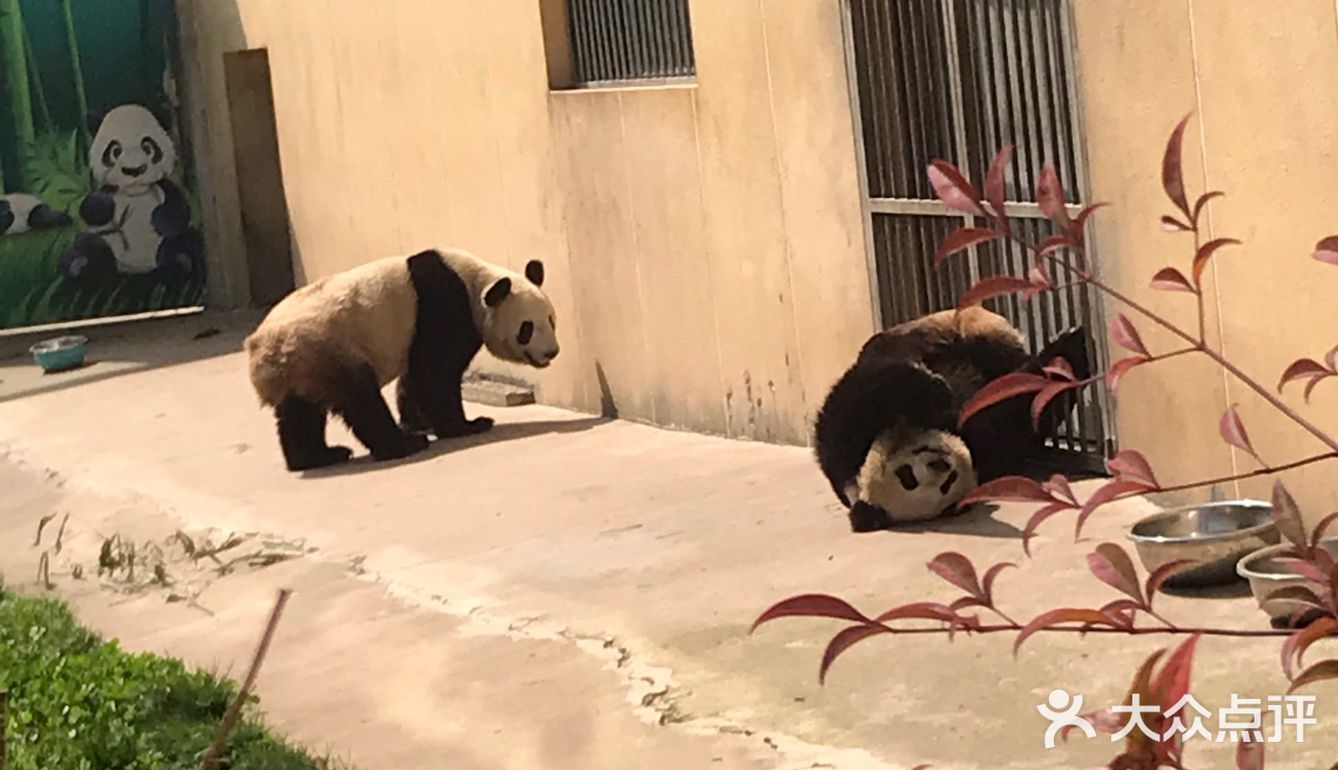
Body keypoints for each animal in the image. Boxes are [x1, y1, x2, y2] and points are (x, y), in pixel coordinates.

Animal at [59, 102, 202, 283]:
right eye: (115, 150)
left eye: (147, 147)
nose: (133, 170)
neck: (135, 191)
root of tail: (137, 272)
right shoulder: (110, 190)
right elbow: (89, 208)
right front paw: (102, 204)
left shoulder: (165, 188)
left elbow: (179, 210)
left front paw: (158, 219)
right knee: (86, 245)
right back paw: (80, 265)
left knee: (185, 241)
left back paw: (179, 264)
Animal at [808, 303, 1091, 532]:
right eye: (910, 480)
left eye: (905, 474)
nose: (940, 465)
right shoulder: (984, 451)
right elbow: (1012, 419)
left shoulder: (844, 444)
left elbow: (857, 401)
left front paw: (936, 389)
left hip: (943, 328)